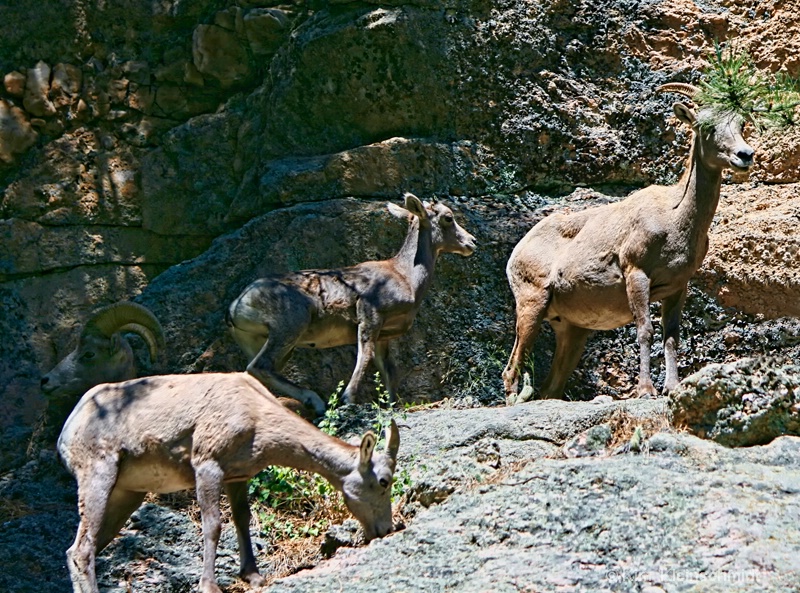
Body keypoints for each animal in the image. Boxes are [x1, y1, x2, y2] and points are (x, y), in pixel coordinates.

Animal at [56, 370, 400, 592]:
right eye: (384, 481)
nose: (385, 529)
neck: (256, 415)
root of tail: (68, 430)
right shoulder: (207, 464)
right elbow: (213, 524)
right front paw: (210, 585)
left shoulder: (238, 475)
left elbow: (242, 519)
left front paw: (254, 576)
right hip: (97, 474)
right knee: (80, 550)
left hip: (126, 494)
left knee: (85, 549)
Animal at [225, 192, 476, 414]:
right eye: (448, 217)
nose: (472, 242)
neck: (407, 277)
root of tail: (236, 306)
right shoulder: (370, 313)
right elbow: (364, 356)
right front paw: (347, 399)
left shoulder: (384, 334)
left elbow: (389, 370)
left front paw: (393, 404)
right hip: (289, 327)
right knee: (260, 366)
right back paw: (316, 402)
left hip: (260, 341)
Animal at [504, 82, 752, 398]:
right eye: (705, 126)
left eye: (741, 123)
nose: (745, 155)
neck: (674, 218)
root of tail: (518, 252)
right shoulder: (636, 273)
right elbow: (645, 331)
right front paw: (646, 389)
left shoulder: (677, 287)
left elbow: (671, 337)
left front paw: (672, 387)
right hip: (531, 304)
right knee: (512, 367)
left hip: (572, 331)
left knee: (551, 387)